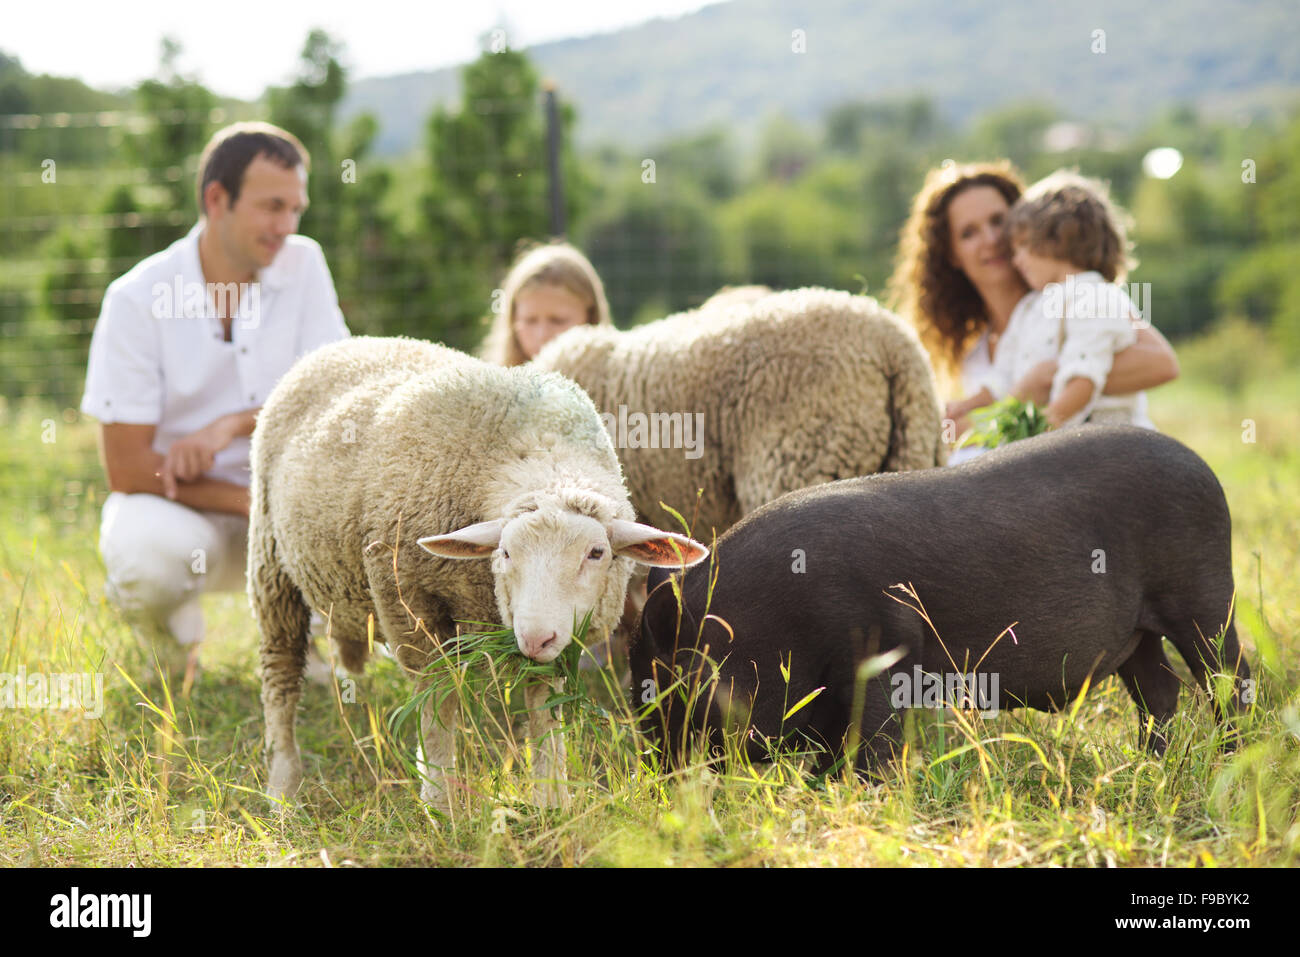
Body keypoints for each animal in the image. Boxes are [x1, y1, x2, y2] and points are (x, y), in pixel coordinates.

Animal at [246, 335, 707, 806]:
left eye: (596, 552)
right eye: (504, 553)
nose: (535, 637)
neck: (537, 448)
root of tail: (341, 345)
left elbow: (544, 709)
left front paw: (552, 798)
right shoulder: (407, 602)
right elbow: (437, 705)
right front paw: (440, 801)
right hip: (270, 563)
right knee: (281, 675)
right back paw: (283, 785)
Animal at [634, 429, 1253, 774]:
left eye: (670, 687)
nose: (658, 776)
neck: (766, 620)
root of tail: (1204, 467)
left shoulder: (882, 652)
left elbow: (871, 742)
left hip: (1203, 596)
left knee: (1230, 677)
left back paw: (1232, 756)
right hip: (1138, 634)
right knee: (1160, 691)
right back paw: (1148, 763)